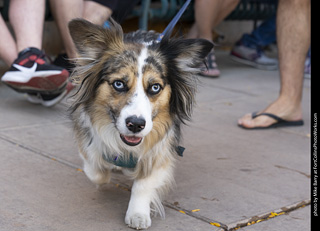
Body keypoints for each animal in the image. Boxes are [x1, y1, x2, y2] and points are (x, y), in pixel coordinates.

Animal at [67, 18, 212, 229]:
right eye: (119, 84)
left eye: (155, 87)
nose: (136, 125)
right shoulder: (88, 140)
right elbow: (96, 170)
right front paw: (107, 170)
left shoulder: (161, 151)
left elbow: (144, 183)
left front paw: (138, 214)